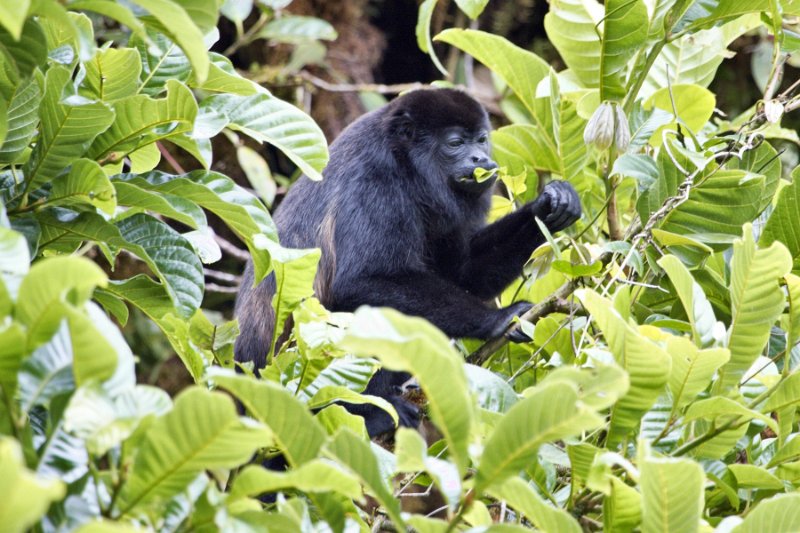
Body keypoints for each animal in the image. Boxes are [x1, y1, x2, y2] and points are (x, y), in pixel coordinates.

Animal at [236, 87, 580, 436]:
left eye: (482, 139)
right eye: (455, 143)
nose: (480, 159)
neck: (409, 166)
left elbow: (464, 273)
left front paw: (549, 205)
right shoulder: (376, 183)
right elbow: (360, 281)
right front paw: (499, 319)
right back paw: (369, 412)